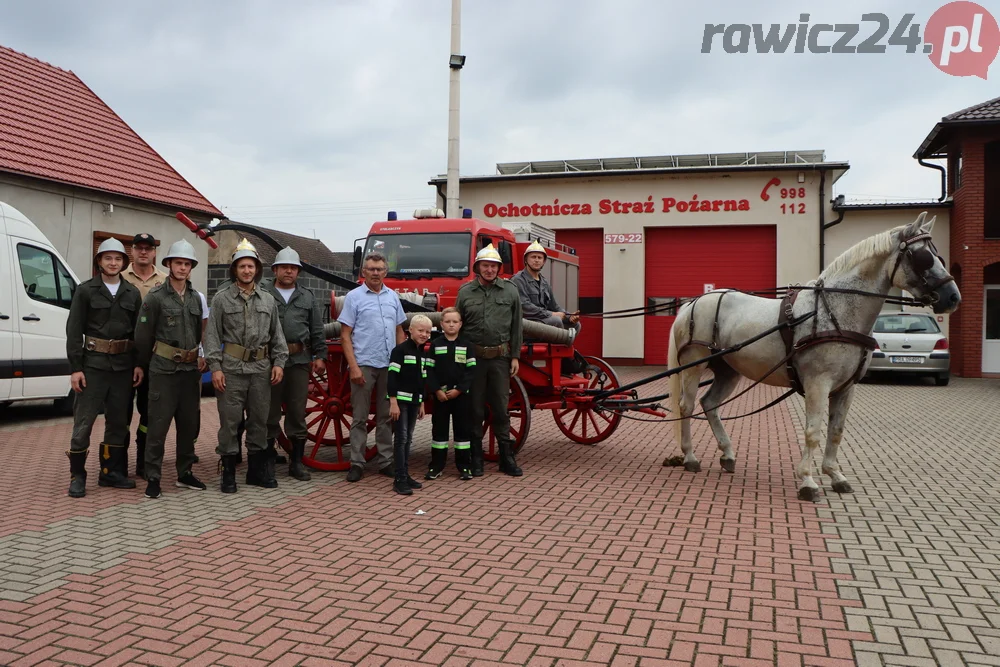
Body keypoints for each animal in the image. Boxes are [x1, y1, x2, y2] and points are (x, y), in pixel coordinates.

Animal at [664, 214, 960, 500]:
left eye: (939, 256)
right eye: (923, 257)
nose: (953, 297)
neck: (836, 312)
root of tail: (691, 303)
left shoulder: (846, 388)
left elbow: (836, 432)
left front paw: (835, 475)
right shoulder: (818, 383)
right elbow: (813, 432)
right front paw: (808, 480)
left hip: (728, 369)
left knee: (710, 403)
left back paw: (727, 454)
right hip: (693, 365)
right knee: (686, 406)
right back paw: (690, 456)